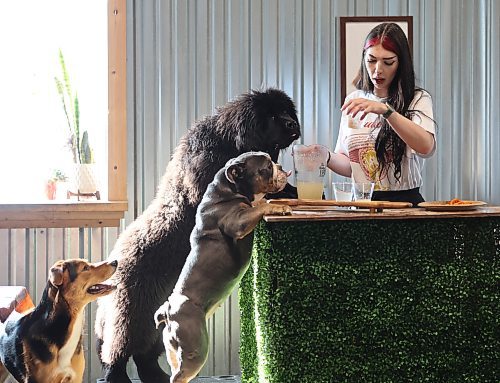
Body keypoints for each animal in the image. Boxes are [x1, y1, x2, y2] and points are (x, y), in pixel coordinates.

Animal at [154, 153, 292, 383]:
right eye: (266, 168)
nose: (280, 166)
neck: (229, 189)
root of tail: (168, 310)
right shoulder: (238, 222)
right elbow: (259, 207)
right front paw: (278, 207)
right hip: (196, 349)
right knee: (180, 376)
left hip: (174, 351)